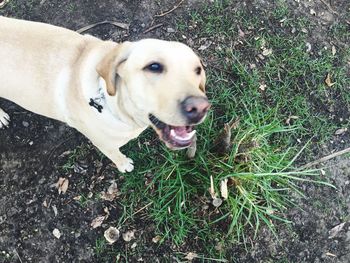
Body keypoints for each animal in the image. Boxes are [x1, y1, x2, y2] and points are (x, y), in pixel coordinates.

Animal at [0, 17, 209, 173]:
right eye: (154, 66)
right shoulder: (104, 144)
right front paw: (124, 164)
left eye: (198, 70)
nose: (200, 108)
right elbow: (115, 154)